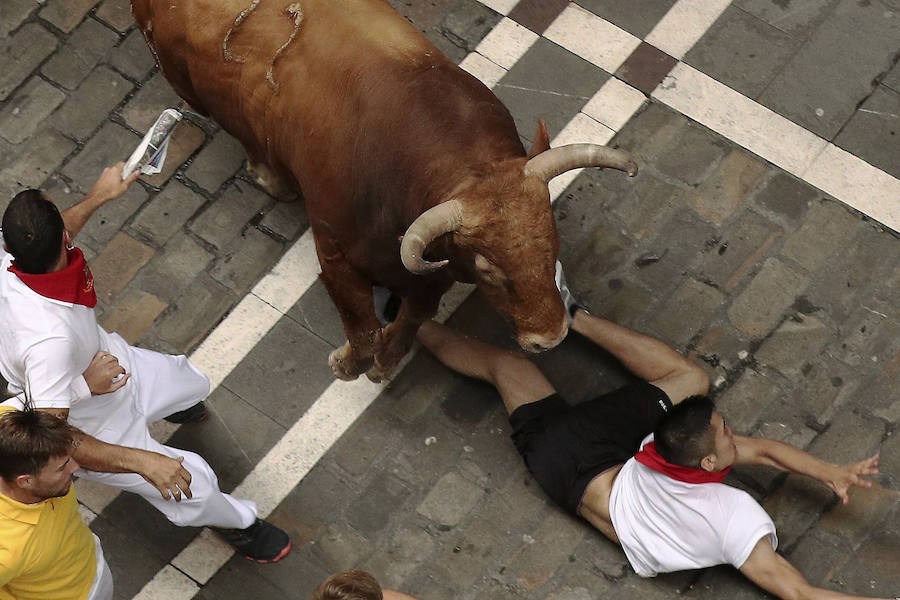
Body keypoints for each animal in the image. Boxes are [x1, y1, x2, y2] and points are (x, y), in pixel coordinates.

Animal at [130, 0, 640, 382]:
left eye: (552, 242)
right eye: (489, 270)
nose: (551, 337)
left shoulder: (432, 275)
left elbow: (410, 319)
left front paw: (385, 363)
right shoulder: (334, 255)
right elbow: (362, 327)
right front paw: (348, 365)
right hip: (180, 77)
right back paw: (270, 177)